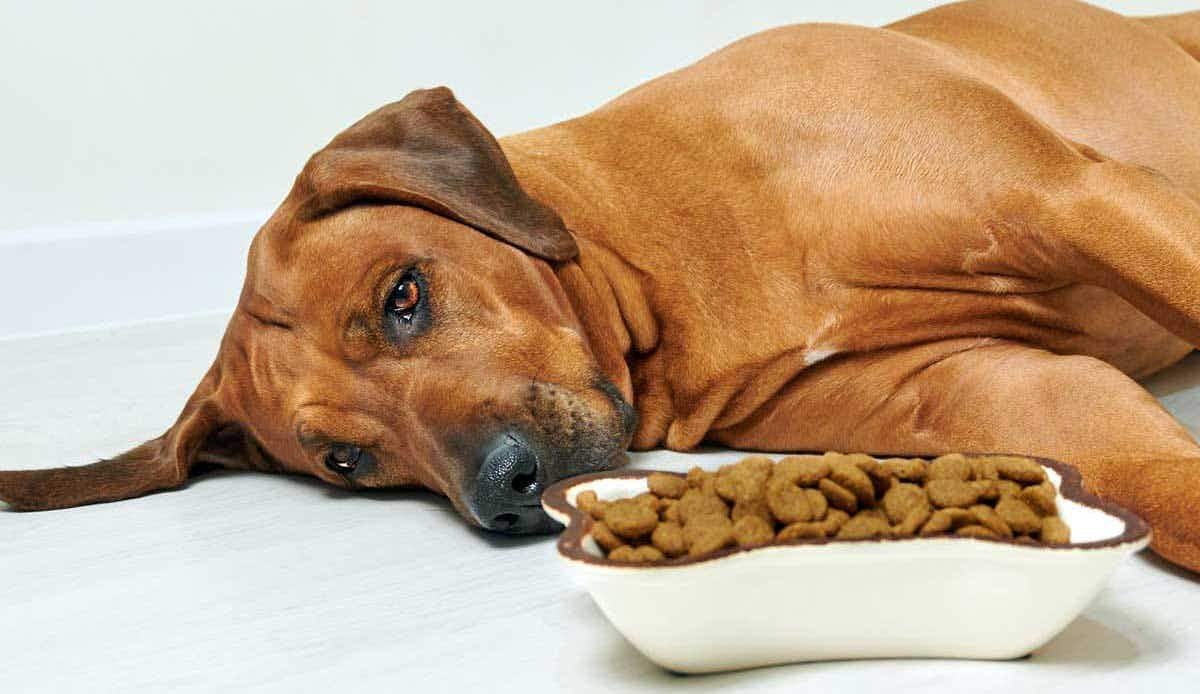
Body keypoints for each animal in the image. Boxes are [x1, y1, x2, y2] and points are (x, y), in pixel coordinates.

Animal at [2, 1, 1200, 566]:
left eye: (403, 296)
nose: (503, 488)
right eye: (347, 461)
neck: (676, 259)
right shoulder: (992, 390)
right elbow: (1146, 470)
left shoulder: (1081, 196)